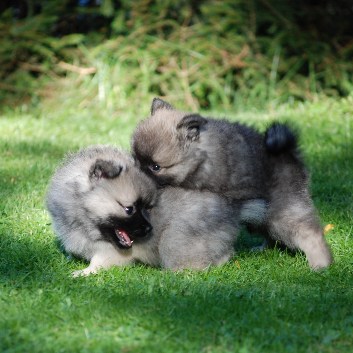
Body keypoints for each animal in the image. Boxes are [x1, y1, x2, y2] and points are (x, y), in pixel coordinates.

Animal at [131, 97, 332, 268]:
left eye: (156, 167)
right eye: (135, 158)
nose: (139, 173)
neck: (203, 155)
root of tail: (289, 154)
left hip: (284, 211)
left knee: (309, 233)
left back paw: (320, 263)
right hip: (264, 216)